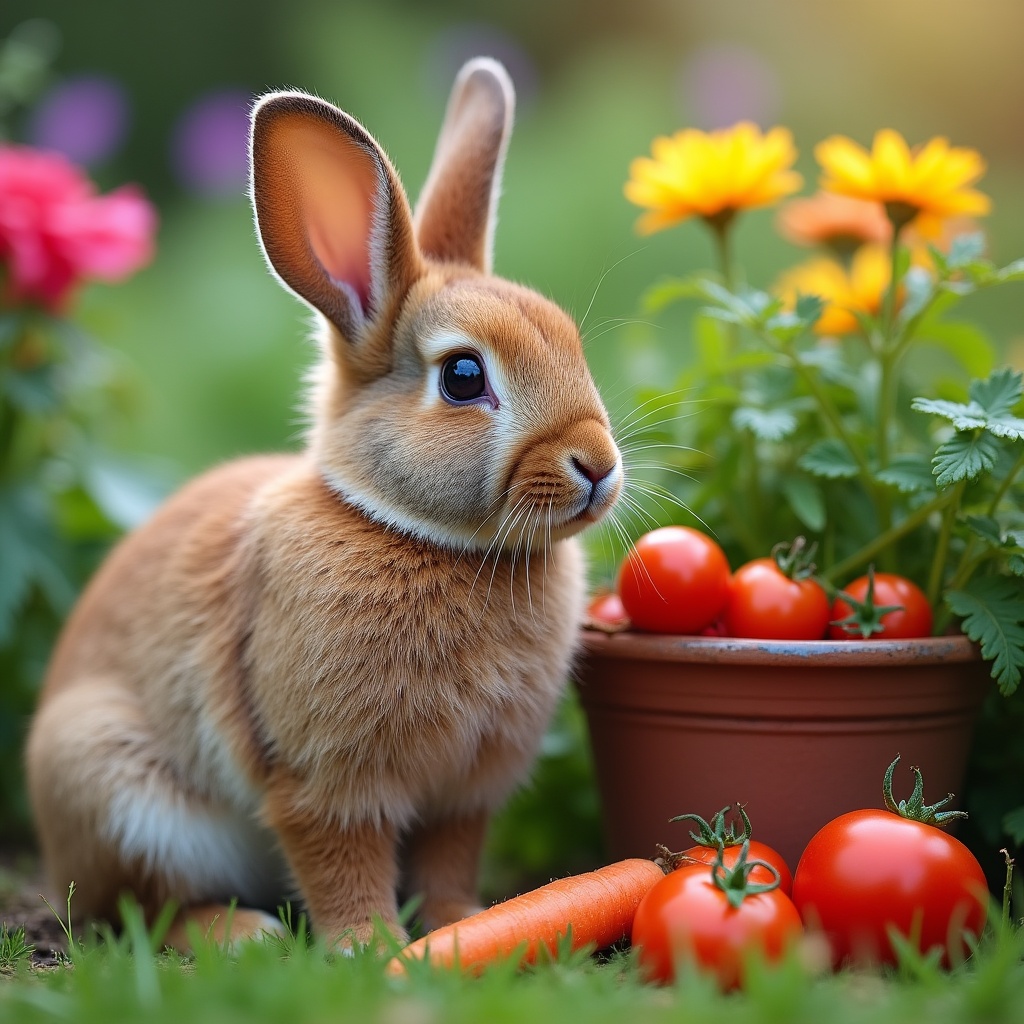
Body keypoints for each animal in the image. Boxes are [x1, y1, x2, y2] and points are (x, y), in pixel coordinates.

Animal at [25, 57, 622, 951]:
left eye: (570, 344)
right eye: (464, 377)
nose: (598, 467)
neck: (423, 534)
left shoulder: (467, 789)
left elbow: (449, 858)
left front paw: (463, 924)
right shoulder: (326, 777)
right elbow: (342, 858)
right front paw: (372, 951)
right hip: (118, 787)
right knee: (137, 908)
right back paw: (243, 934)